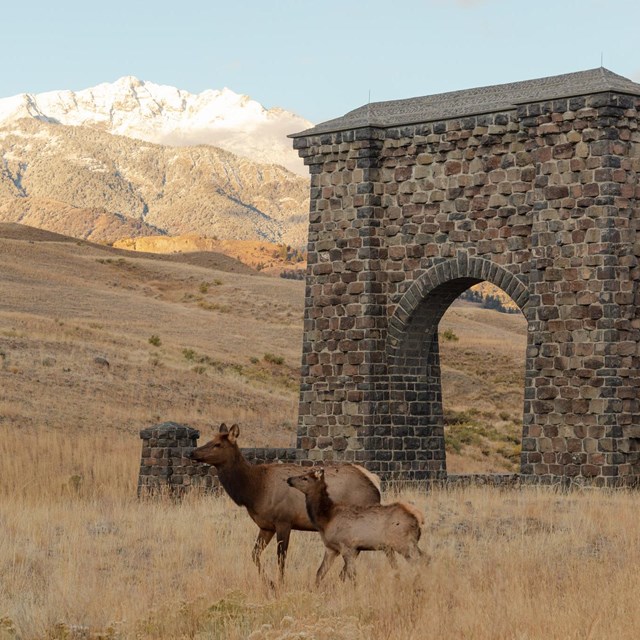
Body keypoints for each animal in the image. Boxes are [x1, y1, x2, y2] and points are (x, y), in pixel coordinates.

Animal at [187, 423, 382, 582]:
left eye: (218, 444)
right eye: (210, 439)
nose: (192, 452)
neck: (254, 491)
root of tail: (376, 482)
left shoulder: (284, 521)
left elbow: (281, 558)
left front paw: (280, 584)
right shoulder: (266, 526)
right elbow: (254, 555)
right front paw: (270, 583)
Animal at [287, 468, 424, 585]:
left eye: (304, 478)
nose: (289, 479)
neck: (326, 519)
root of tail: (418, 519)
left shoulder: (347, 546)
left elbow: (352, 575)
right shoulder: (331, 548)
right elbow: (320, 572)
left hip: (403, 543)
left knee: (421, 561)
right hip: (404, 545)